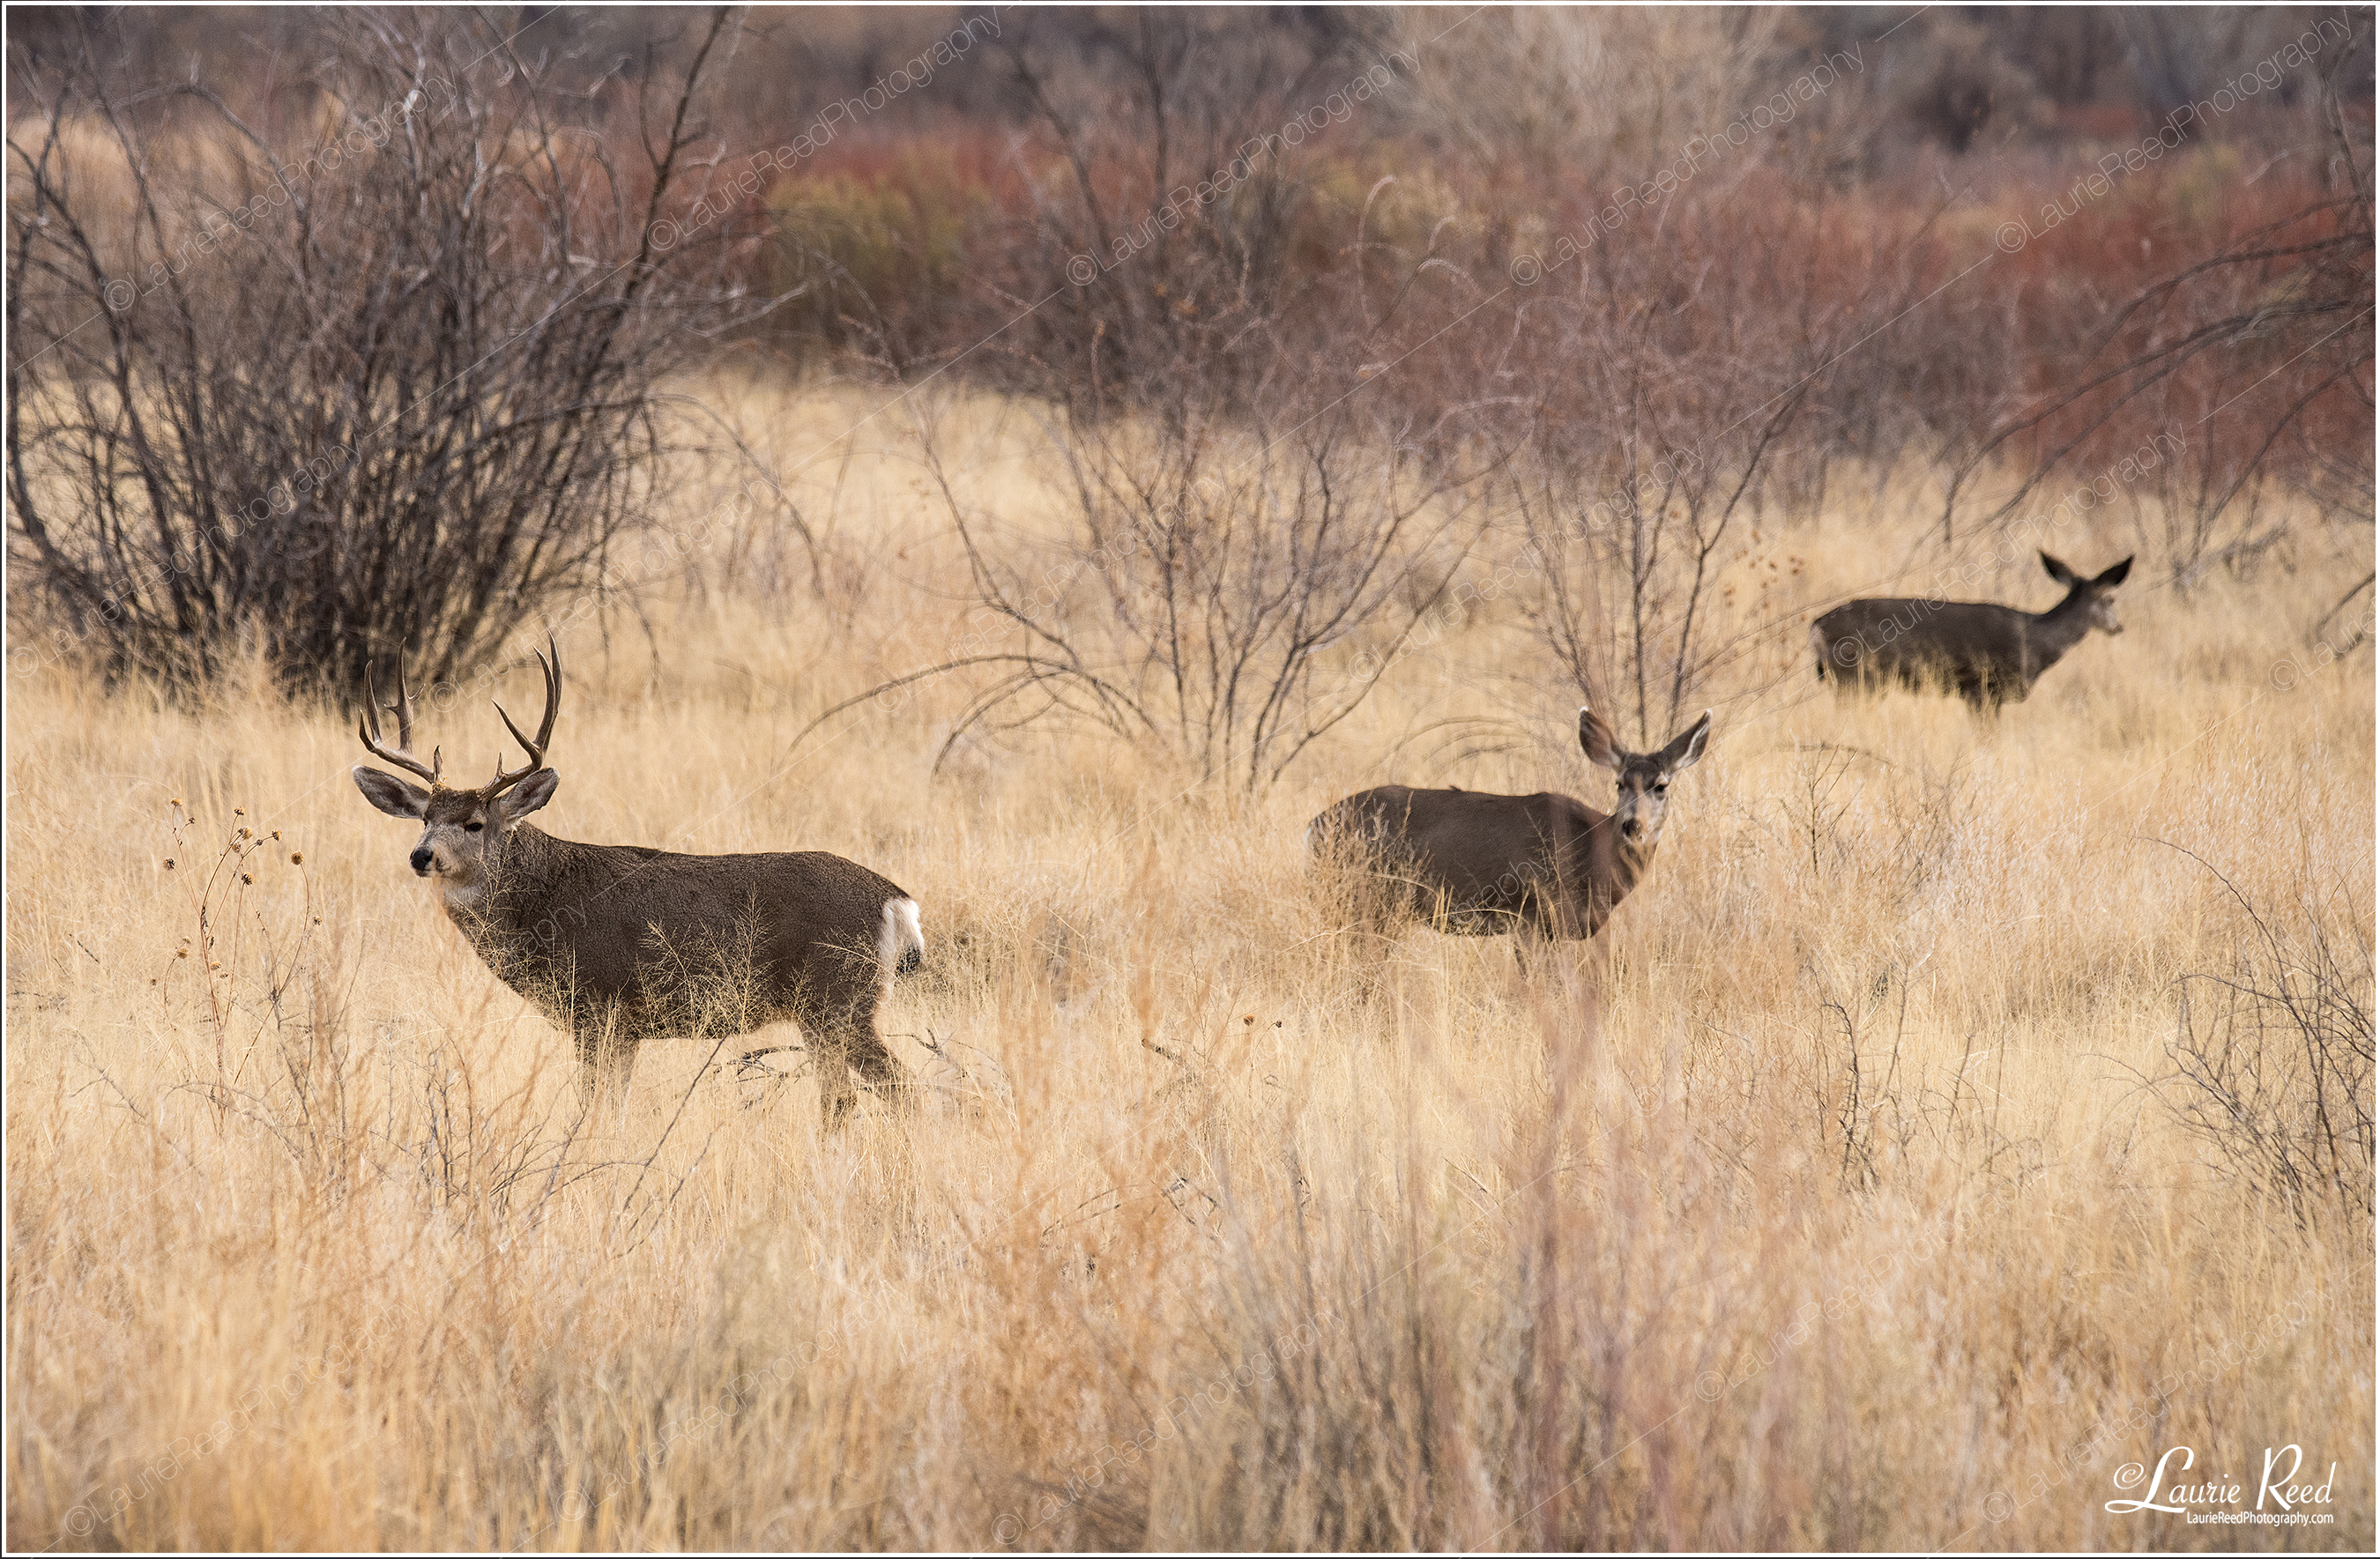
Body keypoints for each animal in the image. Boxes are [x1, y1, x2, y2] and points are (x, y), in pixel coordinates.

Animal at [350, 639, 925, 1126]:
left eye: (473, 823)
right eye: (425, 818)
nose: (422, 855)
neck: (544, 904)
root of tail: (897, 901)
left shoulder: (596, 1006)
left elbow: (591, 1106)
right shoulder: (626, 1029)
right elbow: (616, 1107)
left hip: (839, 998)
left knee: (896, 1087)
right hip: (828, 1010)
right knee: (844, 1098)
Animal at [1308, 706, 1712, 950]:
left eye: (1661, 785)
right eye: (1619, 783)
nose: (1633, 825)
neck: (1593, 855)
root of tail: (1314, 825)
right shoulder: (1532, 915)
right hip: (1365, 895)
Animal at [1810, 551, 2133, 711]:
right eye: (2111, 599)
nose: (2119, 626)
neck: (2034, 640)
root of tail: (1816, 626)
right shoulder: (1982, 689)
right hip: (1856, 678)